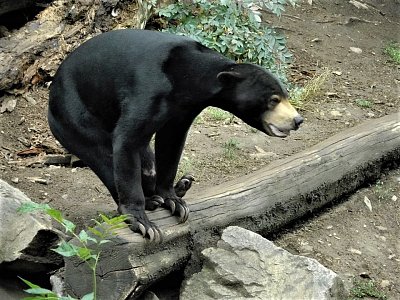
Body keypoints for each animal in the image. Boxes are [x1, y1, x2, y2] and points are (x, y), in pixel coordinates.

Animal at [47, 29, 304, 243]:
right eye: (273, 100)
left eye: (285, 95)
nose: (298, 120)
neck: (187, 80)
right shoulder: (147, 91)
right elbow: (127, 139)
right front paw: (142, 223)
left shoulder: (183, 109)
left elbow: (171, 143)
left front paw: (174, 200)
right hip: (74, 115)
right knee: (103, 157)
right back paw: (148, 201)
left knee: (147, 162)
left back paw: (179, 186)